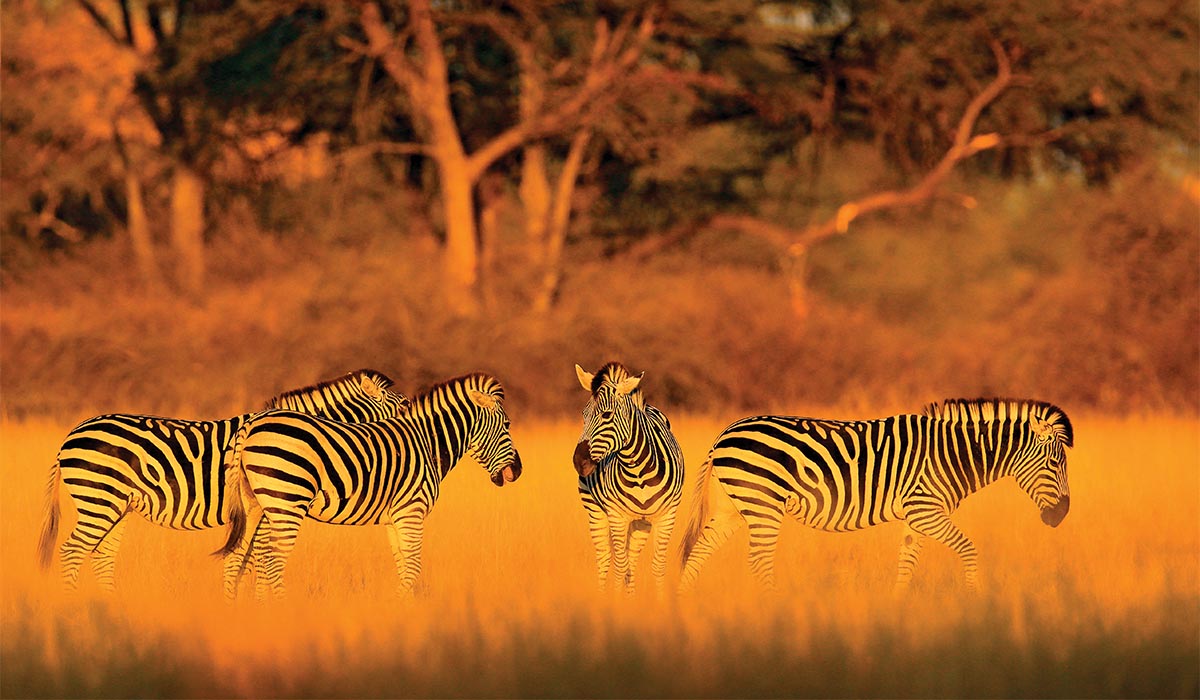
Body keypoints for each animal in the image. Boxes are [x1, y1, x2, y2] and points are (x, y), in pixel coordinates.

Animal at [37, 369, 410, 591]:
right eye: (405, 406)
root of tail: (72, 434)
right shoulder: (265, 511)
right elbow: (255, 562)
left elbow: (246, 562)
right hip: (100, 498)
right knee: (73, 551)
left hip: (116, 506)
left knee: (101, 556)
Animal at [217, 372, 522, 598]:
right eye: (507, 424)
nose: (518, 471)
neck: (427, 442)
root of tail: (252, 424)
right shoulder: (412, 511)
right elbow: (413, 566)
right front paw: (400, 608)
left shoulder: (395, 517)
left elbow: (403, 565)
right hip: (286, 500)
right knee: (272, 561)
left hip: (254, 504)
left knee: (236, 559)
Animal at [573, 363, 684, 595]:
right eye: (583, 415)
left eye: (607, 415)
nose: (579, 462)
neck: (639, 471)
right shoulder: (617, 516)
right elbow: (619, 565)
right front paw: (616, 601)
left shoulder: (667, 515)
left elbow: (657, 565)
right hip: (594, 510)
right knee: (605, 558)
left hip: (642, 522)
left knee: (631, 558)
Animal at [678, 398, 1072, 592]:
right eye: (1054, 463)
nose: (1062, 515)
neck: (953, 455)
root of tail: (724, 434)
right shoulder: (926, 509)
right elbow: (968, 548)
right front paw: (975, 599)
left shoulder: (917, 516)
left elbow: (907, 562)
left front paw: (897, 611)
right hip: (762, 504)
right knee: (758, 561)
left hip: (733, 507)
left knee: (698, 552)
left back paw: (682, 606)